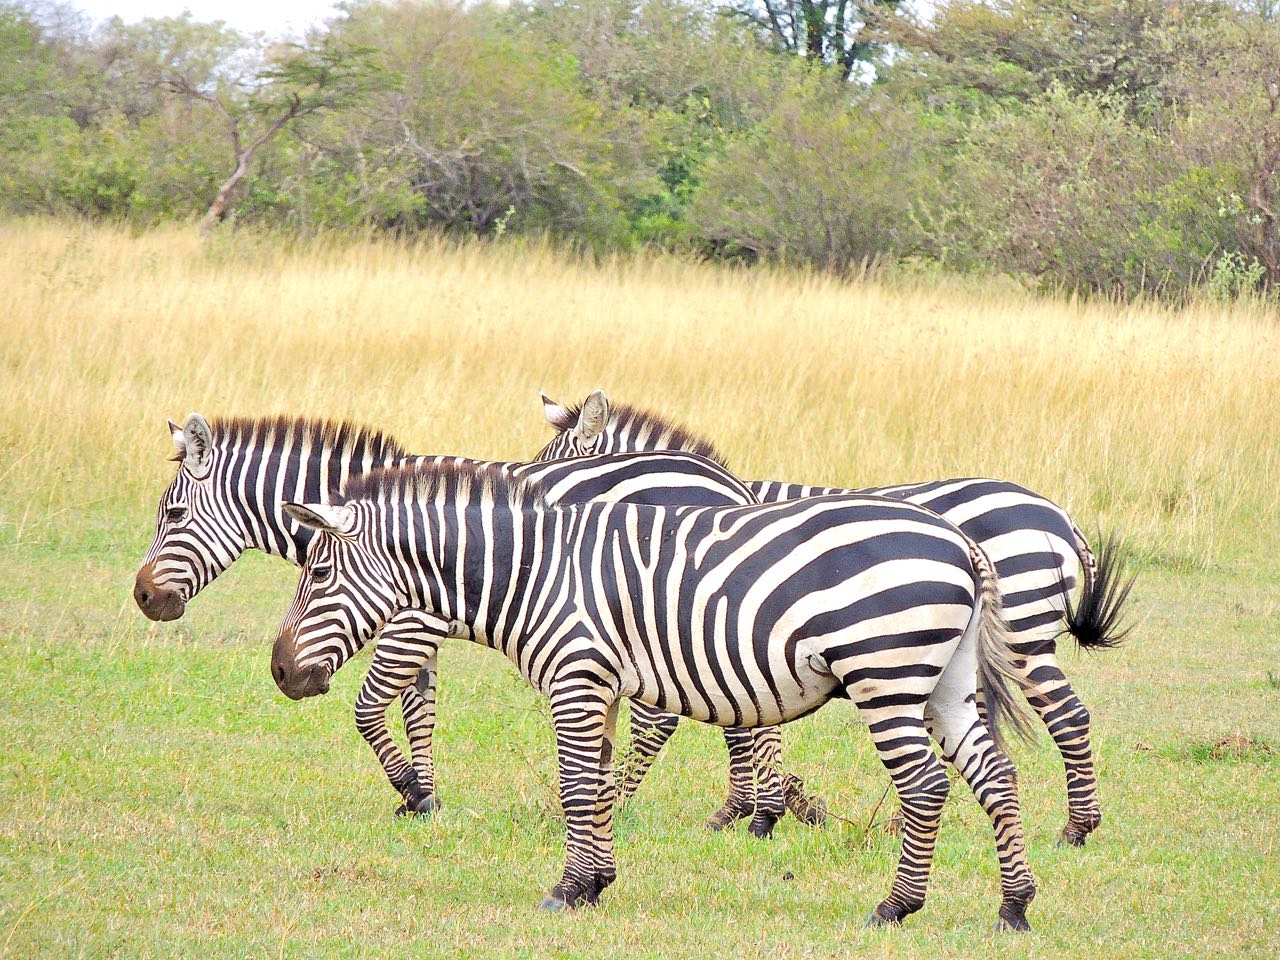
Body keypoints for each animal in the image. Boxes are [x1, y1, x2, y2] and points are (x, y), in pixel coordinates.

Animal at [135, 414, 819, 834]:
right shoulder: (419, 626)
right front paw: (424, 796)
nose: (143, 597)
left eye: (173, 513)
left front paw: (413, 792)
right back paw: (741, 811)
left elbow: (368, 709)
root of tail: (730, 482)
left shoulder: (412, 622)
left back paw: (709, 810)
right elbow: (419, 710)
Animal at [272, 463, 1039, 926]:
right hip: (947, 683)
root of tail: (961, 540)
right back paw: (1015, 905)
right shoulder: (601, 686)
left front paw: (567, 891)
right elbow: (598, 783)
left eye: (319, 571)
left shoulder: (577, 678)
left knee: (927, 786)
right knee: (996, 776)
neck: (532, 571)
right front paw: (597, 882)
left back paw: (895, 907)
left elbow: (577, 786)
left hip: (887, 677)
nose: (280, 672)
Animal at [535, 391, 1136, 849]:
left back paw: (1075, 829)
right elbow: (740, 718)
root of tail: (1059, 516)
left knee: (1066, 716)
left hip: (1018, 636)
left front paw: (745, 811)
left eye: (552, 470)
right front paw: (762, 807)